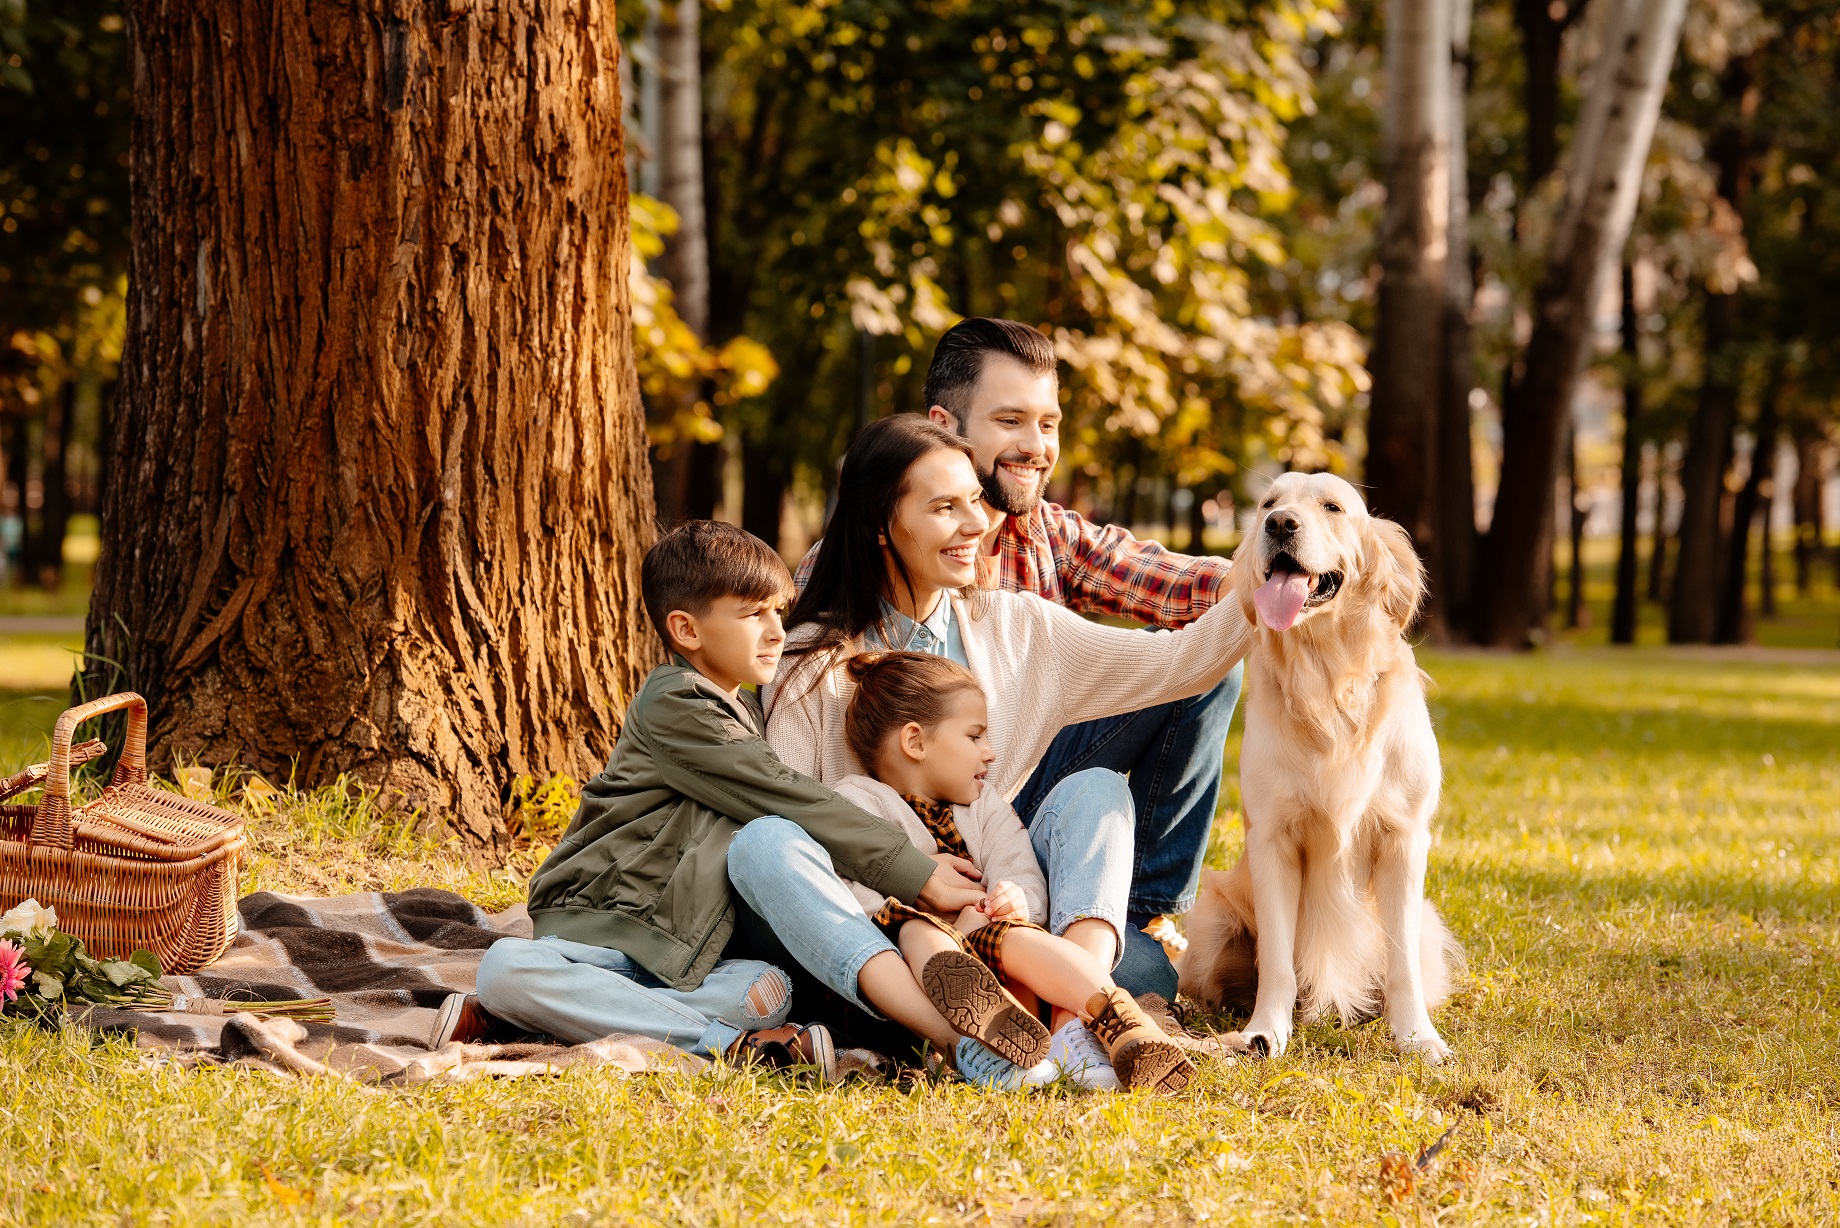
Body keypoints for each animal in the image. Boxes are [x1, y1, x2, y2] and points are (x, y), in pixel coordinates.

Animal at [1177, 474, 1464, 1067]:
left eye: (1333, 506)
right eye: (1268, 503)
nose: (1279, 524)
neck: (1328, 680)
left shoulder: (1404, 837)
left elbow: (1401, 966)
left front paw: (1418, 1038)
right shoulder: (1273, 838)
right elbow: (1278, 962)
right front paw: (1265, 1033)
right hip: (1213, 923)